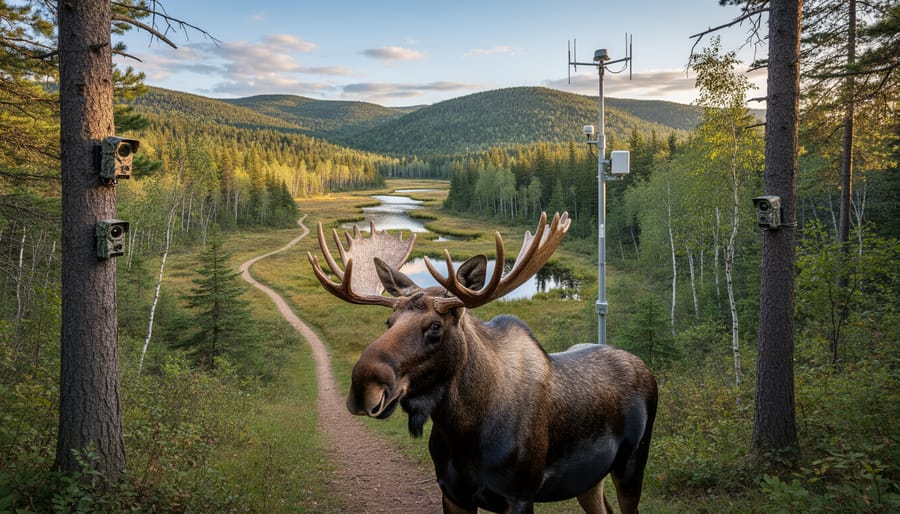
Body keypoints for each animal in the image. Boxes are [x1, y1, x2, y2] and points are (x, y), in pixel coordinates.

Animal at [308, 212, 657, 514]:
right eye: (388, 321)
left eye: (435, 326)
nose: (362, 386)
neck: (464, 433)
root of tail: (646, 367)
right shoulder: (452, 493)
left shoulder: (519, 496)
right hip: (587, 480)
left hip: (631, 466)